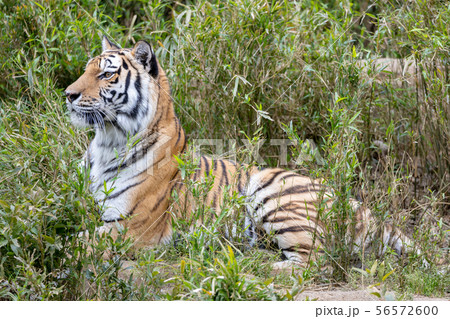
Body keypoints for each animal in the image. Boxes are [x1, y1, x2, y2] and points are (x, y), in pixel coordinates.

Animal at [65, 36, 416, 268]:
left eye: (107, 73)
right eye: (86, 69)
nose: (68, 94)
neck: (106, 142)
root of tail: (357, 206)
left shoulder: (131, 226)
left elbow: (76, 241)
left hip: (270, 191)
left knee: (316, 262)